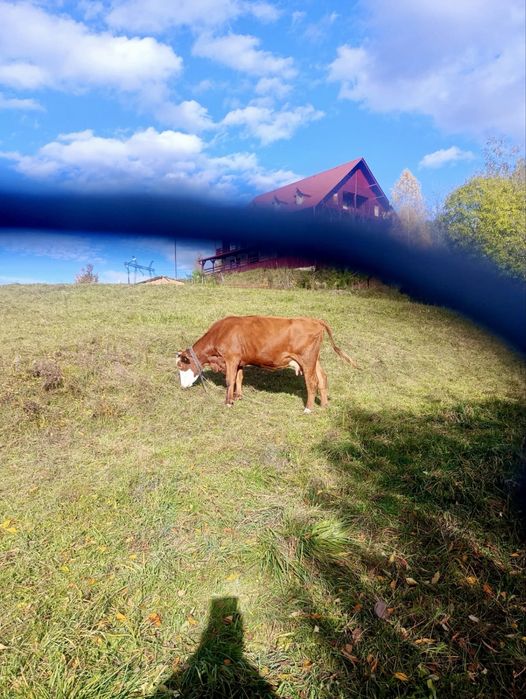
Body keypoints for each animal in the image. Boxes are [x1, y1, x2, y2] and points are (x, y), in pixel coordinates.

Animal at [176, 315, 357, 413]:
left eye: (181, 366)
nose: (182, 387)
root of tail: (314, 320)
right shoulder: (240, 360)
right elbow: (239, 378)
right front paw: (238, 396)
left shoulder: (231, 358)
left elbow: (229, 380)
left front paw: (228, 402)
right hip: (314, 360)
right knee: (322, 378)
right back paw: (325, 405)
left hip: (306, 359)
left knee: (312, 382)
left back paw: (308, 408)